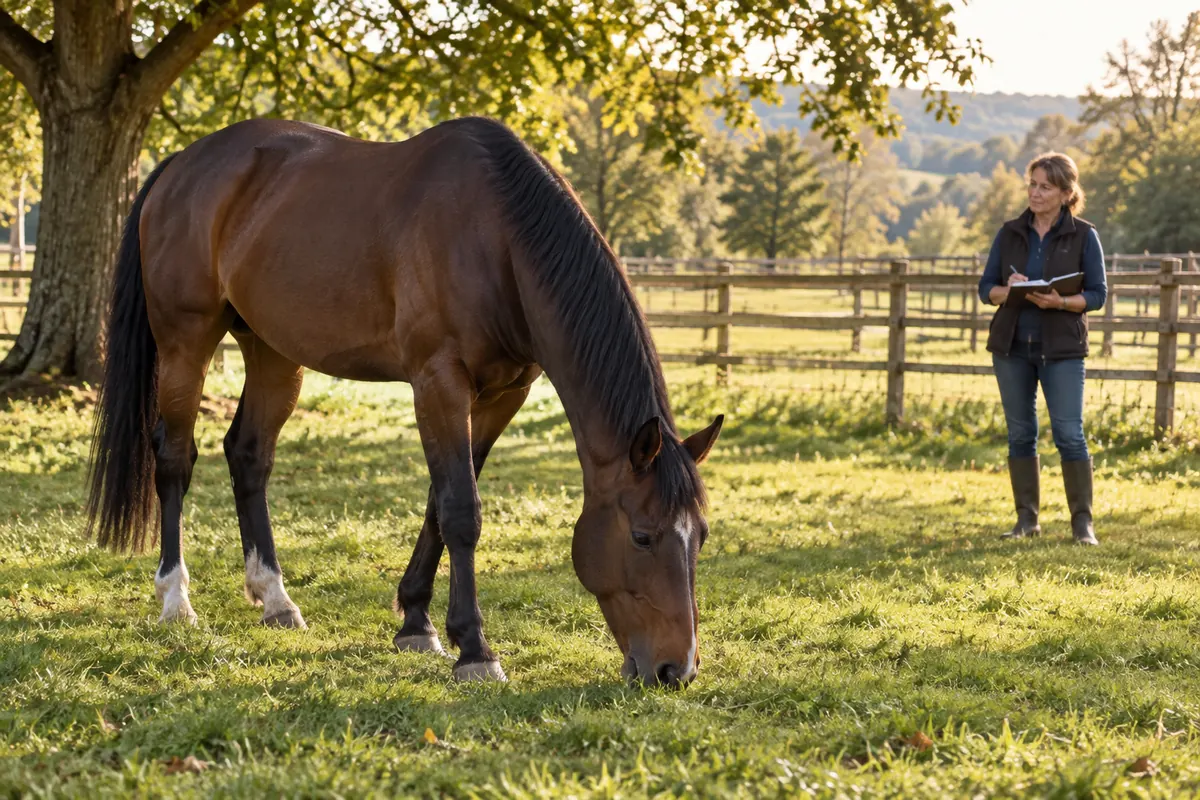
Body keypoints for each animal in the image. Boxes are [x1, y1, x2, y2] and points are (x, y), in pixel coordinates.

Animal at [86, 116, 723, 686]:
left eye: (700, 536)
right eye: (643, 536)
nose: (676, 670)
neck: (497, 237)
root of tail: (182, 165)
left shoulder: (503, 395)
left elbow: (439, 505)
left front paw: (417, 622)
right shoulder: (437, 381)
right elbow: (461, 510)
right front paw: (475, 650)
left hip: (273, 352)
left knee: (248, 456)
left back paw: (275, 598)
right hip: (185, 341)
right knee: (174, 459)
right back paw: (176, 599)